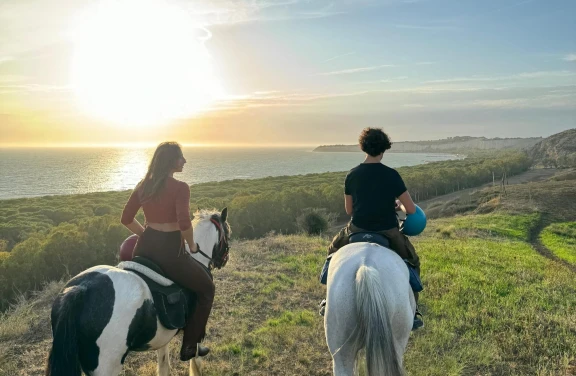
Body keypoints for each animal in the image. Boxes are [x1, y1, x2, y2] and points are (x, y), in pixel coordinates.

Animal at [45, 209, 230, 376]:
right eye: (227, 232)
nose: (224, 260)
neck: (197, 258)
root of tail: (82, 289)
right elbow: (195, 357)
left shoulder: (164, 336)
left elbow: (164, 364)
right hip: (107, 366)